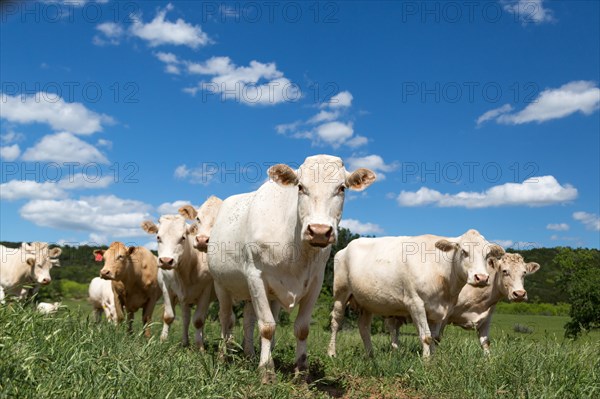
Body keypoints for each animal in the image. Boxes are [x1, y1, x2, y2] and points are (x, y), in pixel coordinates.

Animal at [209, 155, 372, 382]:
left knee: (249, 320)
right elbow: (267, 327)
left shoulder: (315, 281)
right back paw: (224, 357)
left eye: (342, 188)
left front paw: (301, 372)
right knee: (227, 319)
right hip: (221, 284)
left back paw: (250, 355)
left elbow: (301, 328)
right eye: (301, 187)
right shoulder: (255, 276)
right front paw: (267, 371)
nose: (319, 231)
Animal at [326, 231, 504, 360]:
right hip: (340, 292)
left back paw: (371, 355)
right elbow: (426, 337)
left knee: (363, 327)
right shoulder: (415, 303)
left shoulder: (440, 310)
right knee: (336, 322)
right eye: (464, 252)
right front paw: (426, 362)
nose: (482, 278)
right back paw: (332, 353)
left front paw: (434, 360)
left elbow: (434, 337)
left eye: (487, 255)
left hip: (366, 302)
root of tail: (345, 248)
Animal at [386, 252, 540, 354]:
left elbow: (485, 342)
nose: (519, 294)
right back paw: (395, 351)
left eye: (524, 273)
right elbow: (436, 338)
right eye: (504, 271)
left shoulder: (487, 317)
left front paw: (488, 364)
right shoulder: (444, 315)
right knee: (393, 330)